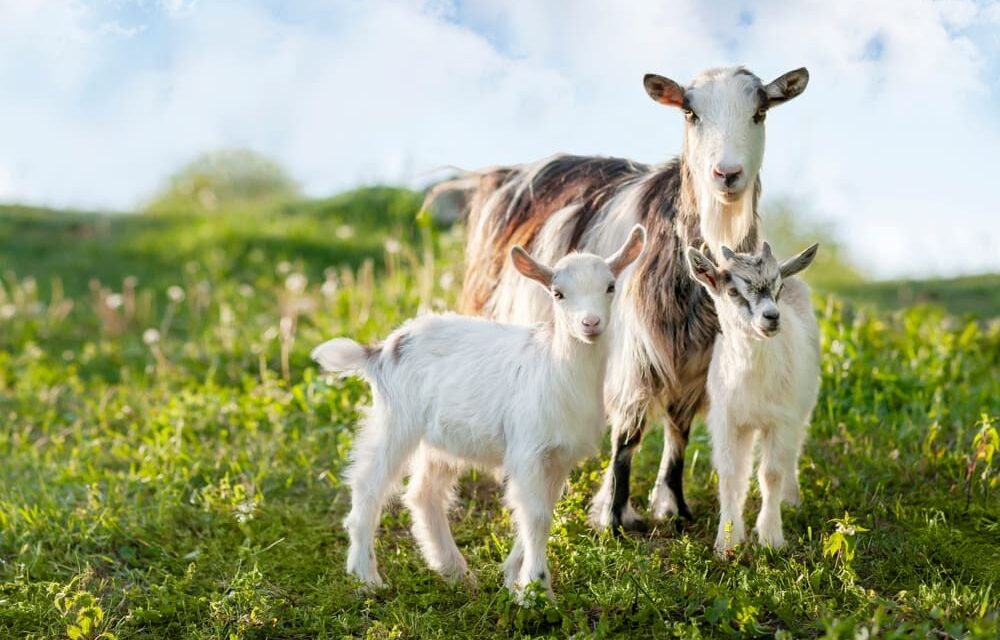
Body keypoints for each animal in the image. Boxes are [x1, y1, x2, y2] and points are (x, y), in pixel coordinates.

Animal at [313, 226, 646, 596]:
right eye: (558, 293)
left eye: (610, 286)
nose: (591, 323)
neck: (555, 367)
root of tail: (381, 350)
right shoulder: (528, 450)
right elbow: (536, 516)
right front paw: (537, 589)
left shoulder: (560, 456)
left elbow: (540, 511)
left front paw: (514, 579)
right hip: (396, 422)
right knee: (369, 485)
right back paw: (366, 577)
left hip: (441, 440)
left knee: (424, 494)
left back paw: (455, 571)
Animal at [430, 65, 810, 530]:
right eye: (689, 112)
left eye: (761, 111)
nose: (727, 173)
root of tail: (503, 174)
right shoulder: (634, 353)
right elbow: (628, 433)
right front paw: (612, 516)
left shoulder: (695, 360)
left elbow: (679, 431)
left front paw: (674, 506)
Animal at [686, 241, 820, 555]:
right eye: (732, 291)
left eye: (779, 287)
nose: (772, 316)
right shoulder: (726, 420)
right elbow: (730, 473)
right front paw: (727, 540)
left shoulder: (781, 420)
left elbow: (771, 473)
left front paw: (771, 538)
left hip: (800, 411)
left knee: (791, 455)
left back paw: (791, 499)